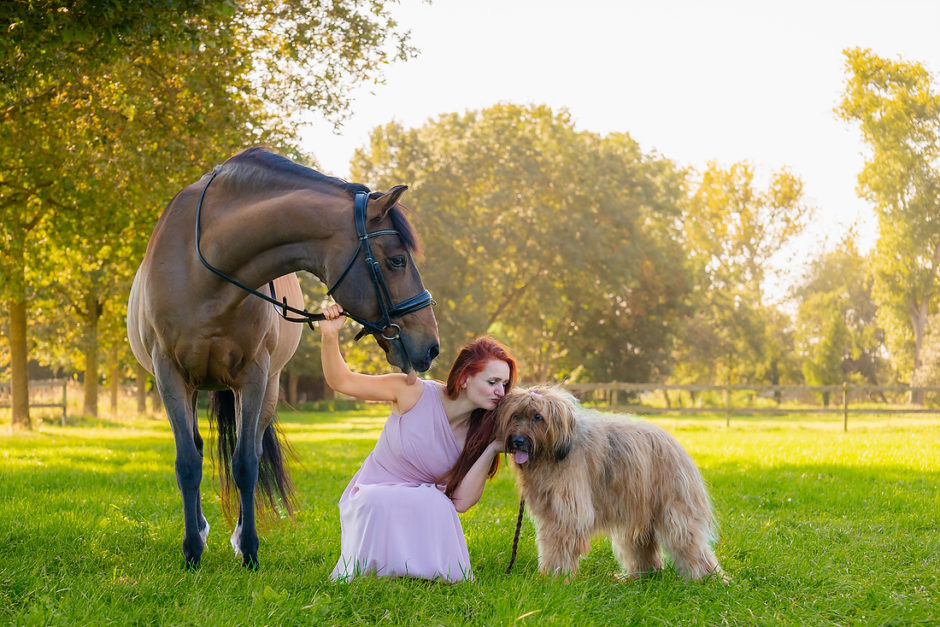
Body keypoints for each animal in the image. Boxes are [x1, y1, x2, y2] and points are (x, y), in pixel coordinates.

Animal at [125, 150, 440, 572]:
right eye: (397, 261)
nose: (432, 346)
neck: (203, 270)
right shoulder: (169, 376)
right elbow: (188, 463)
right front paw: (191, 552)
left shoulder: (254, 376)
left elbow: (245, 464)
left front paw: (249, 549)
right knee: (197, 447)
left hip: (266, 388)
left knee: (252, 452)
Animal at [496, 388, 724, 584]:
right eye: (515, 415)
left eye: (537, 417)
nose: (518, 441)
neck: (551, 453)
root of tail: (676, 445)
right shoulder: (550, 511)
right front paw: (551, 576)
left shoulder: (567, 511)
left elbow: (558, 545)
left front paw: (556, 578)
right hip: (639, 512)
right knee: (642, 546)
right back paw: (639, 577)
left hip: (674, 509)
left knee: (688, 541)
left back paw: (705, 580)